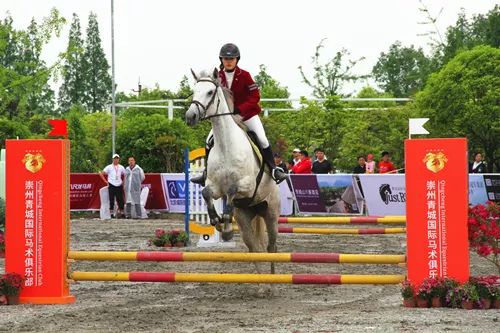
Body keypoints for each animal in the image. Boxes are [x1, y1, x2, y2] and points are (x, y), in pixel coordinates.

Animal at [185, 68, 280, 264]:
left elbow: (232, 189)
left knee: (272, 247)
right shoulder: (215, 186)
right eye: (194, 91)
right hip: (245, 215)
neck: (226, 145)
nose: (190, 117)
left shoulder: (248, 185)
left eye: (210, 92)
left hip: (271, 214)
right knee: (255, 249)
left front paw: (226, 226)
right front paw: (218, 222)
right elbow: (207, 193)